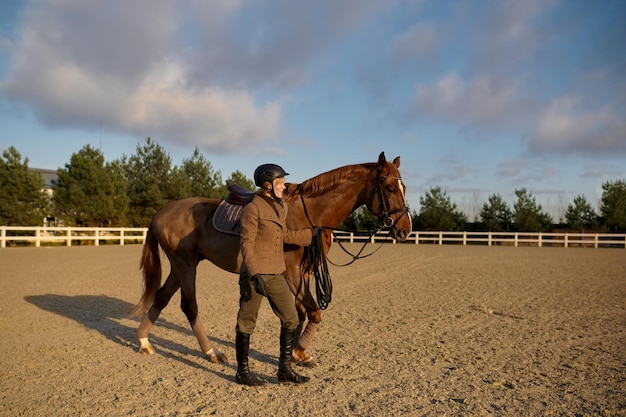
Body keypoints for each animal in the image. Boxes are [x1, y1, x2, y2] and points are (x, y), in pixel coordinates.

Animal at [133, 152, 410, 364]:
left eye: (404, 188)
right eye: (390, 188)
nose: (406, 229)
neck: (308, 215)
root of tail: (162, 212)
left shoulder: (305, 273)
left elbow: (300, 313)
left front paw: (296, 353)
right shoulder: (291, 272)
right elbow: (314, 312)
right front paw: (298, 351)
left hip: (181, 266)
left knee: (162, 297)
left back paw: (144, 340)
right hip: (186, 265)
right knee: (189, 306)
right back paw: (211, 352)